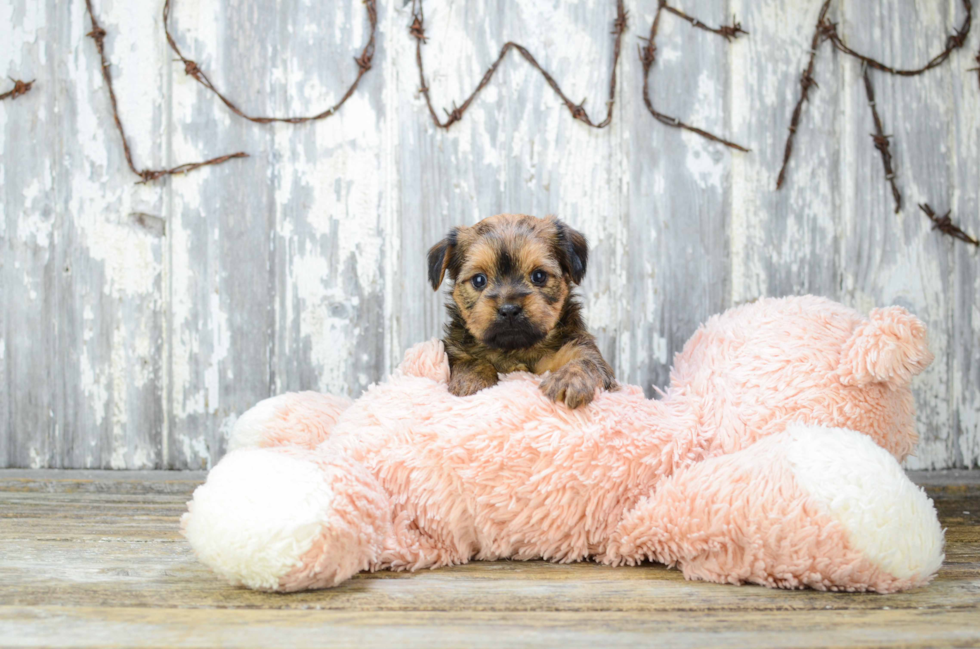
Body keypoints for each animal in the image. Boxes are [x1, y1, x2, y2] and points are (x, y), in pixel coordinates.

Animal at [426, 213, 612, 408]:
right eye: (479, 280)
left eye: (539, 276)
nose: (509, 309)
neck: (516, 350)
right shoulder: (456, 351)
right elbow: (470, 361)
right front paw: (471, 382)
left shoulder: (580, 347)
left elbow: (587, 362)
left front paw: (569, 379)